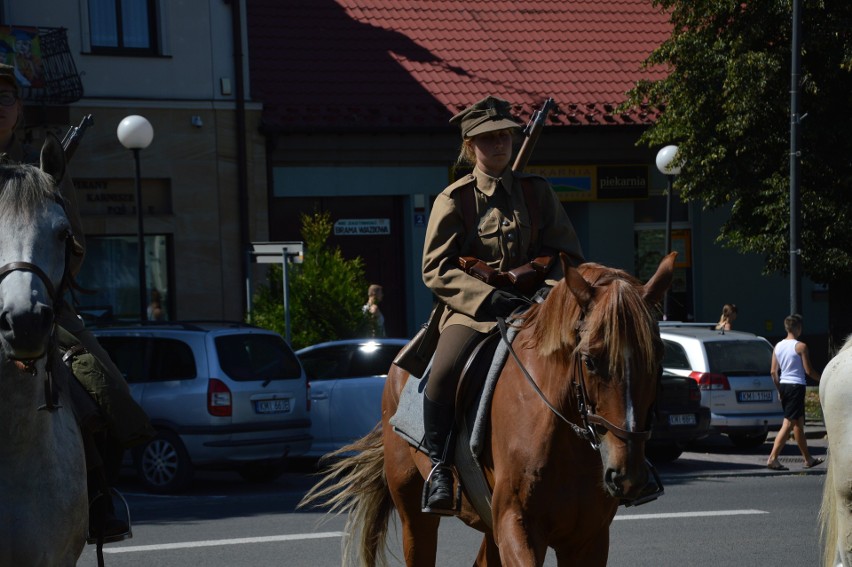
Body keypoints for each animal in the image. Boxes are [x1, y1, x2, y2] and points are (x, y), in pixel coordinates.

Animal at [302, 255, 676, 564]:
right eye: (590, 359)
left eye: (658, 358)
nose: (626, 475)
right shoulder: (517, 526)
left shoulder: (589, 539)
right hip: (413, 511)